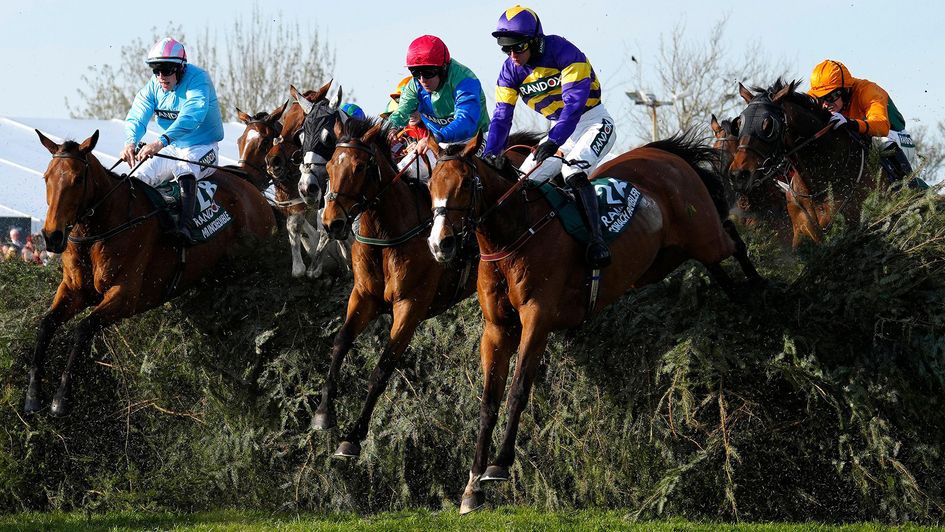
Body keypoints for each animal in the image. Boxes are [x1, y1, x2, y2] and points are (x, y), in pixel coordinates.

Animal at [25, 129, 274, 416]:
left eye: (78, 179)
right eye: (46, 177)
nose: (51, 237)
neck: (101, 228)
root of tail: (254, 192)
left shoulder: (125, 296)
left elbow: (82, 329)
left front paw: (61, 398)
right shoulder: (74, 289)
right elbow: (46, 324)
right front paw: (33, 396)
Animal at [424, 131, 764, 512]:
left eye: (467, 183)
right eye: (430, 185)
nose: (440, 244)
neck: (513, 234)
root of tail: (665, 154)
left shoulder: (537, 320)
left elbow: (517, 391)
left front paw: (499, 465)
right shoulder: (496, 330)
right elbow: (488, 403)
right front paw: (472, 487)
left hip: (704, 236)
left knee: (732, 240)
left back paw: (761, 292)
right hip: (662, 259)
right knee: (717, 265)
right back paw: (739, 296)